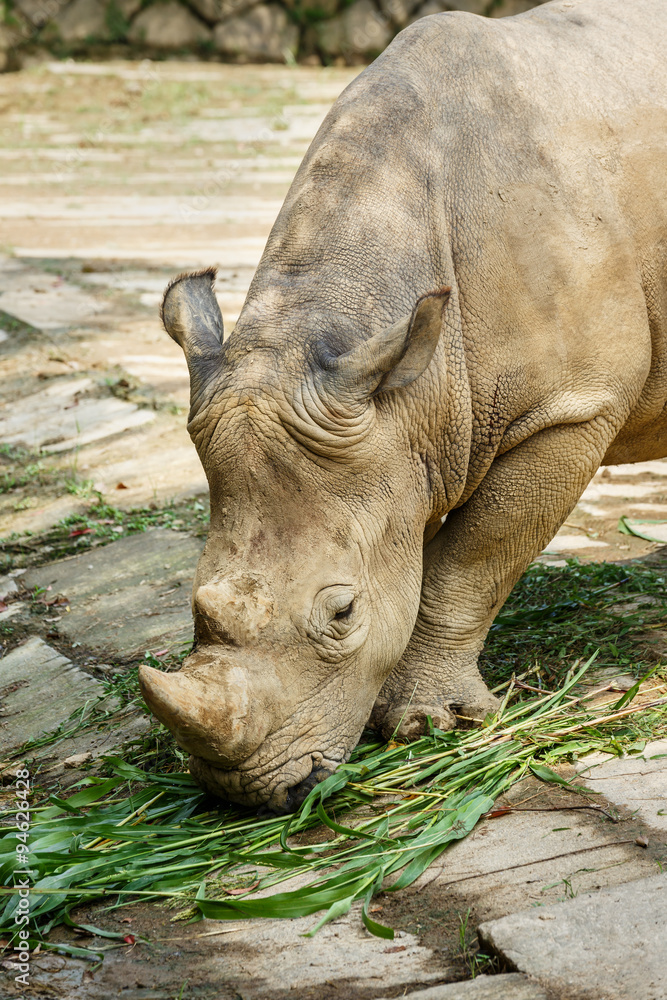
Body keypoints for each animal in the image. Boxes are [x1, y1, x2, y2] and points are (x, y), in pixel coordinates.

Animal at [139, 0, 667, 812]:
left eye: (343, 614)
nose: (244, 792)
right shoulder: (405, 430)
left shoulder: (570, 408)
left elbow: (471, 558)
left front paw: (428, 725)